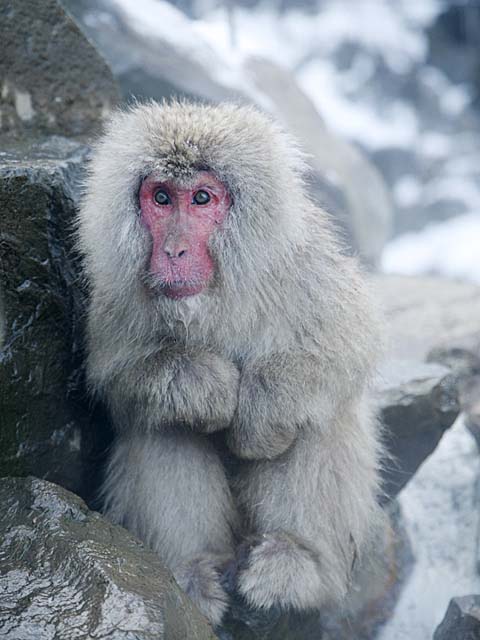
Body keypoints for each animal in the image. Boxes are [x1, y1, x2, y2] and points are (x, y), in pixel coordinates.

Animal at [77, 102, 384, 628]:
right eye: (161, 198)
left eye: (201, 198)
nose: (174, 250)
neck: (214, 299)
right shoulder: (117, 297)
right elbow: (119, 375)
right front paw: (206, 385)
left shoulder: (305, 267)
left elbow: (346, 344)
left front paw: (262, 406)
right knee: (162, 424)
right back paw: (192, 571)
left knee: (317, 417)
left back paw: (297, 561)